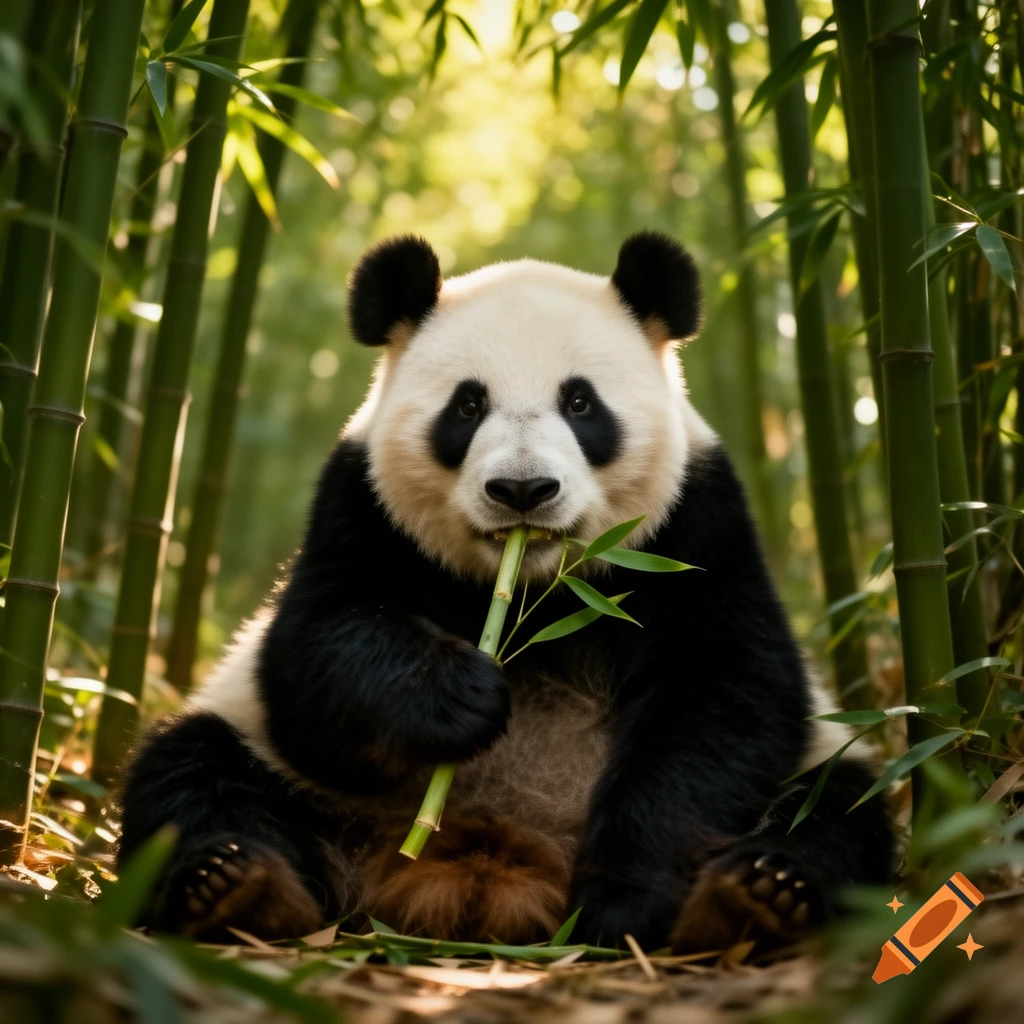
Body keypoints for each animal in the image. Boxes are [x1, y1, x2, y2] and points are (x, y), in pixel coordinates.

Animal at [117, 232, 893, 951]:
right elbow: (313, 656)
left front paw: (626, 904)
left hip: (823, 761)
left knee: (840, 811)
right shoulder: (360, 509)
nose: (523, 490)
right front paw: (459, 695)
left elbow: (722, 695)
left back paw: (757, 895)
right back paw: (238, 888)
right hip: (286, 776)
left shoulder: (695, 527)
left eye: (580, 402)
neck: (533, 588)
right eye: (467, 406)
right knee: (192, 772)